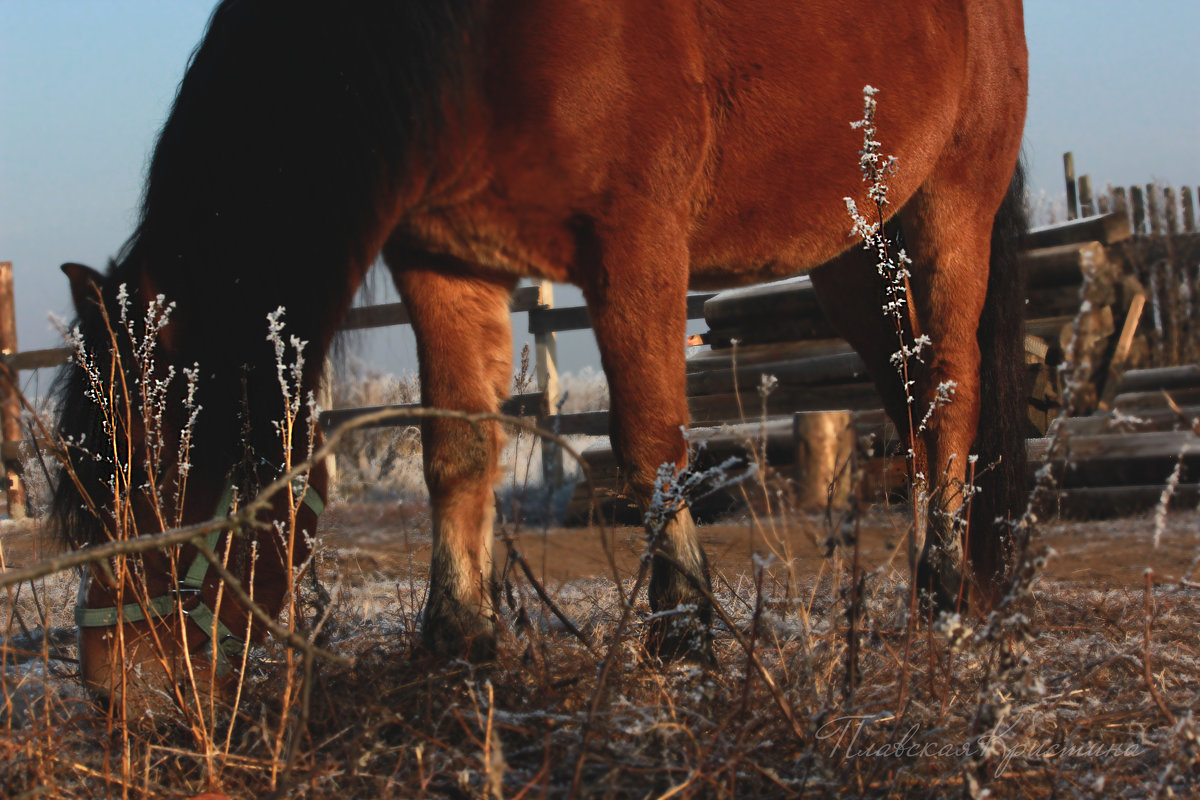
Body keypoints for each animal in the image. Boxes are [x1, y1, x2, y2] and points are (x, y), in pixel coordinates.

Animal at [56, 0, 1027, 700]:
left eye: (160, 478)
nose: (114, 688)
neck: (484, 40)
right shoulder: (447, 265)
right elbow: (456, 449)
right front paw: (459, 640)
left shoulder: (636, 245)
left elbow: (650, 445)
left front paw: (683, 638)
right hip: (854, 251)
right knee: (909, 400)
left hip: (947, 209)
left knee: (951, 393)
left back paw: (946, 593)